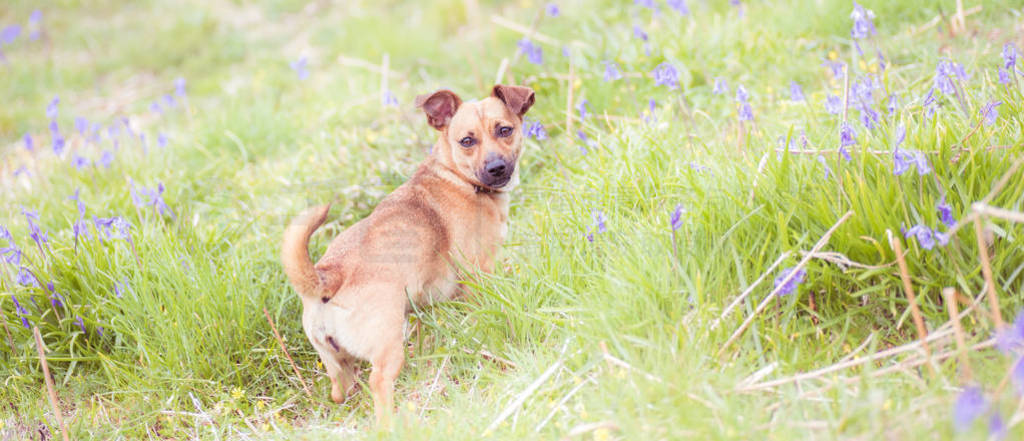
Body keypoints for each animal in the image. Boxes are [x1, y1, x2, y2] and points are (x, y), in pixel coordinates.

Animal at [280, 83, 536, 427]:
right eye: (467, 141)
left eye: (505, 130)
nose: (496, 167)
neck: (457, 177)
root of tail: (328, 276)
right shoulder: (479, 273)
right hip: (388, 348)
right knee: (379, 384)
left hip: (338, 367)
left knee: (339, 391)